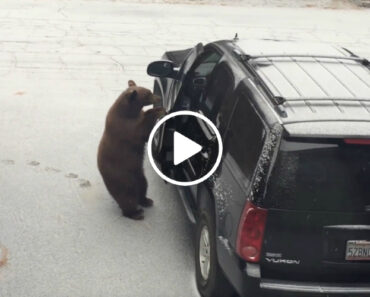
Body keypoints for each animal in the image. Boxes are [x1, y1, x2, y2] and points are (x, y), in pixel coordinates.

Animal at [97, 80, 165, 219]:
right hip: (123, 179)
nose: (159, 98)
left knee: (143, 186)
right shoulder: (124, 127)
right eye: (148, 94)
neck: (128, 113)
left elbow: (146, 133)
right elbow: (141, 131)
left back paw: (146, 200)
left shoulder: (135, 117)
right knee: (127, 197)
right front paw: (158, 110)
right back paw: (135, 213)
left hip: (139, 174)